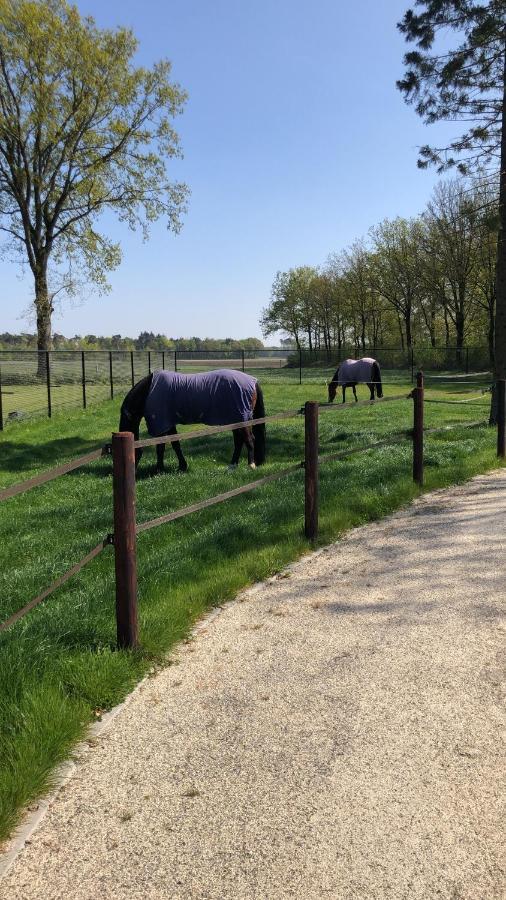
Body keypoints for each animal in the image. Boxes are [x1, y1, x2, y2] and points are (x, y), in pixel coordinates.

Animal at [119, 370, 266, 474]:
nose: (133, 473)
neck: (149, 391)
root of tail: (253, 381)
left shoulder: (162, 424)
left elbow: (160, 447)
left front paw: (159, 469)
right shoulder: (169, 424)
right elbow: (175, 444)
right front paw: (182, 466)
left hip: (242, 419)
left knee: (249, 439)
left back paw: (251, 465)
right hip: (235, 420)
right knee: (239, 441)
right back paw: (232, 466)